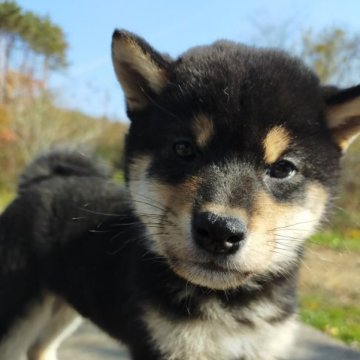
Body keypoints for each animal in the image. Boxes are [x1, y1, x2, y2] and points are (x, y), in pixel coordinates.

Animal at [0, 31, 360, 360]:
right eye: (184, 149)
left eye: (283, 168)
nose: (219, 231)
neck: (228, 304)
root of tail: (39, 184)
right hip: (18, 308)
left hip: (66, 304)